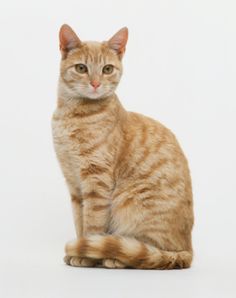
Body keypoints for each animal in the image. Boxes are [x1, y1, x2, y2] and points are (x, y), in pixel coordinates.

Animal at [51, 24, 194, 268]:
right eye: (81, 68)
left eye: (107, 69)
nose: (96, 83)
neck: (73, 113)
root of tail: (189, 248)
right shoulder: (74, 184)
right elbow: (80, 222)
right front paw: (79, 249)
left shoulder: (96, 180)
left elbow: (92, 225)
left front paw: (85, 256)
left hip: (132, 205)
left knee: (151, 253)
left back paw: (114, 257)